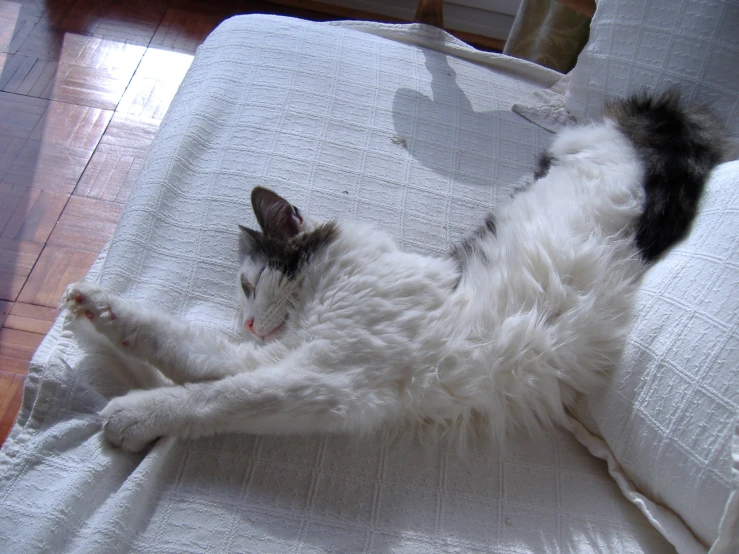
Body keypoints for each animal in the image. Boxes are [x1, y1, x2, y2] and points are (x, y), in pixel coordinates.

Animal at [62, 91, 724, 452]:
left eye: (250, 284)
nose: (246, 323)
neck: (340, 280)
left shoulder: (328, 382)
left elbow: (211, 397)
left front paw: (134, 415)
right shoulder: (292, 359)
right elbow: (185, 346)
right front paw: (97, 309)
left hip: (601, 146)